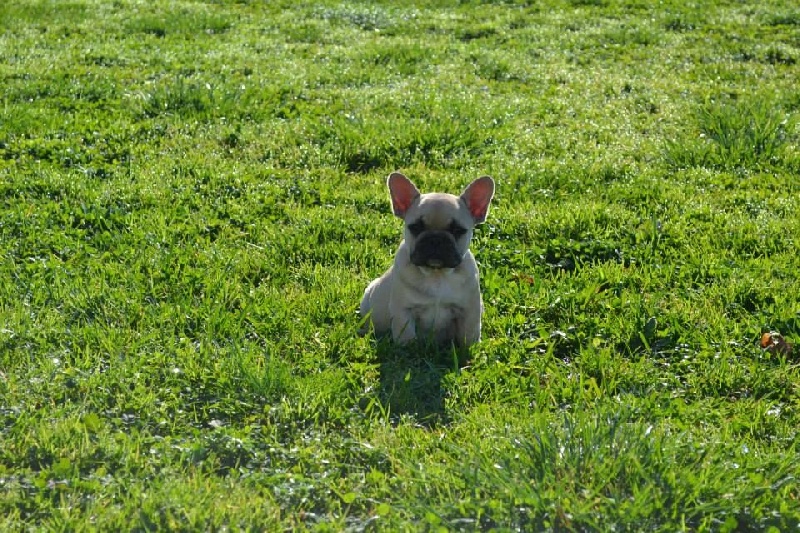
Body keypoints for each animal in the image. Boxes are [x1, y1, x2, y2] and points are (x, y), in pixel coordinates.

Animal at [358, 172, 494, 348]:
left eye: (458, 230)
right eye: (415, 227)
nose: (435, 239)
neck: (437, 274)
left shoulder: (470, 310)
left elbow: (469, 334)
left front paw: (470, 350)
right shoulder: (404, 311)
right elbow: (406, 336)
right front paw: (406, 350)